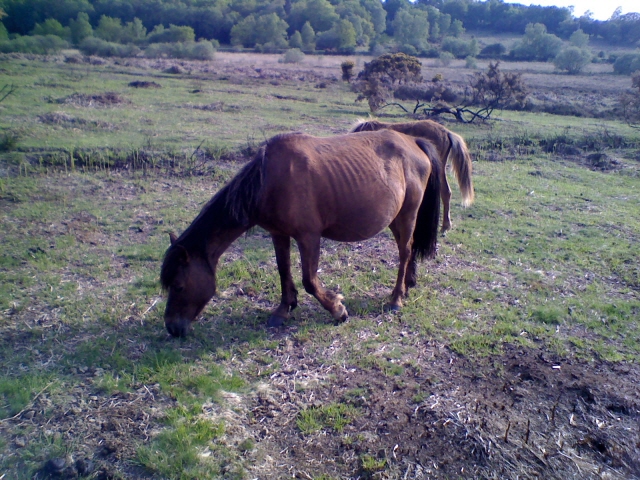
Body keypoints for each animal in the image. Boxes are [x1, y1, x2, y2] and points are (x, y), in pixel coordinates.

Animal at [161, 129, 440, 336]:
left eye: (178, 286)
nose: (172, 329)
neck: (269, 181)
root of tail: (413, 141)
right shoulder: (278, 234)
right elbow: (283, 270)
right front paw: (284, 309)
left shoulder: (309, 237)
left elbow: (309, 280)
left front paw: (337, 310)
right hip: (395, 219)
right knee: (408, 249)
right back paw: (406, 287)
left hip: (407, 215)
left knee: (404, 253)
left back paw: (396, 299)